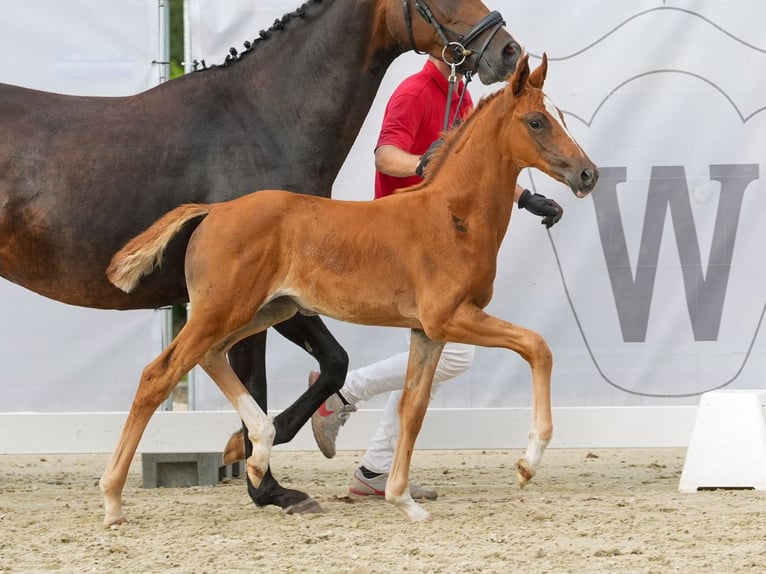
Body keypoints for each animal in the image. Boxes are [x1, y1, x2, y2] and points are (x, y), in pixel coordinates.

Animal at [0, 0, 520, 516]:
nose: (509, 51)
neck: (264, 119)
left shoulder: (281, 297)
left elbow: (328, 363)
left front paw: (256, 461)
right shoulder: (263, 298)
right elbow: (275, 376)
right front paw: (265, 482)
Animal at [106, 54, 600, 528]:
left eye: (560, 116)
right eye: (536, 121)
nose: (587, 173)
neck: (452, 217)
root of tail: (215, 210)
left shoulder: (428, 332)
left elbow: (413, 409)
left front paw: (403, 501)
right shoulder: (450, 317)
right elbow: (537, 347)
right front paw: (528, 463)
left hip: (265, 311)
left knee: (209, 357)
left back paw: (259, 450)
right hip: (224, 310)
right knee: (159, 375)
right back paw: (113, 500)